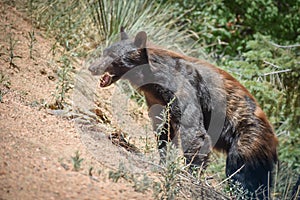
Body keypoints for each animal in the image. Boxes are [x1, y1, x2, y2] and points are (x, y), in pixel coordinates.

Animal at [88, 27, 278, 198]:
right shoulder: (156, 100)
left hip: (248, 139)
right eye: (105, 51)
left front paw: (190, 176)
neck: (154, 79)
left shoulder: (184, 88)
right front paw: (163, 162)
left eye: (113, 56)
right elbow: (163, 130)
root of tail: (274, 138)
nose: (92, 67)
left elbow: (194, 131)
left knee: (241, 173)